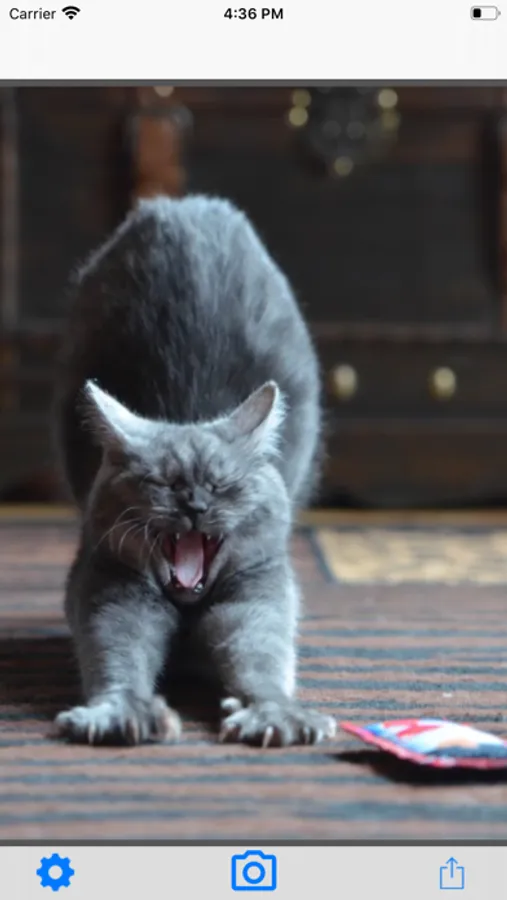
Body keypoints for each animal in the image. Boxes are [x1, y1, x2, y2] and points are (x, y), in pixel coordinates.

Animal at [52, 194, 336, 747]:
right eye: (161, 483)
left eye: (224, 485)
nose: (196, 504)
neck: (186, 607)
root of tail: (182, 203)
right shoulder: (111, 585)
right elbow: (117, 650)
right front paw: (123, 714)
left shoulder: (258, 590)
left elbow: (260, 656)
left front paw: (277, 716)